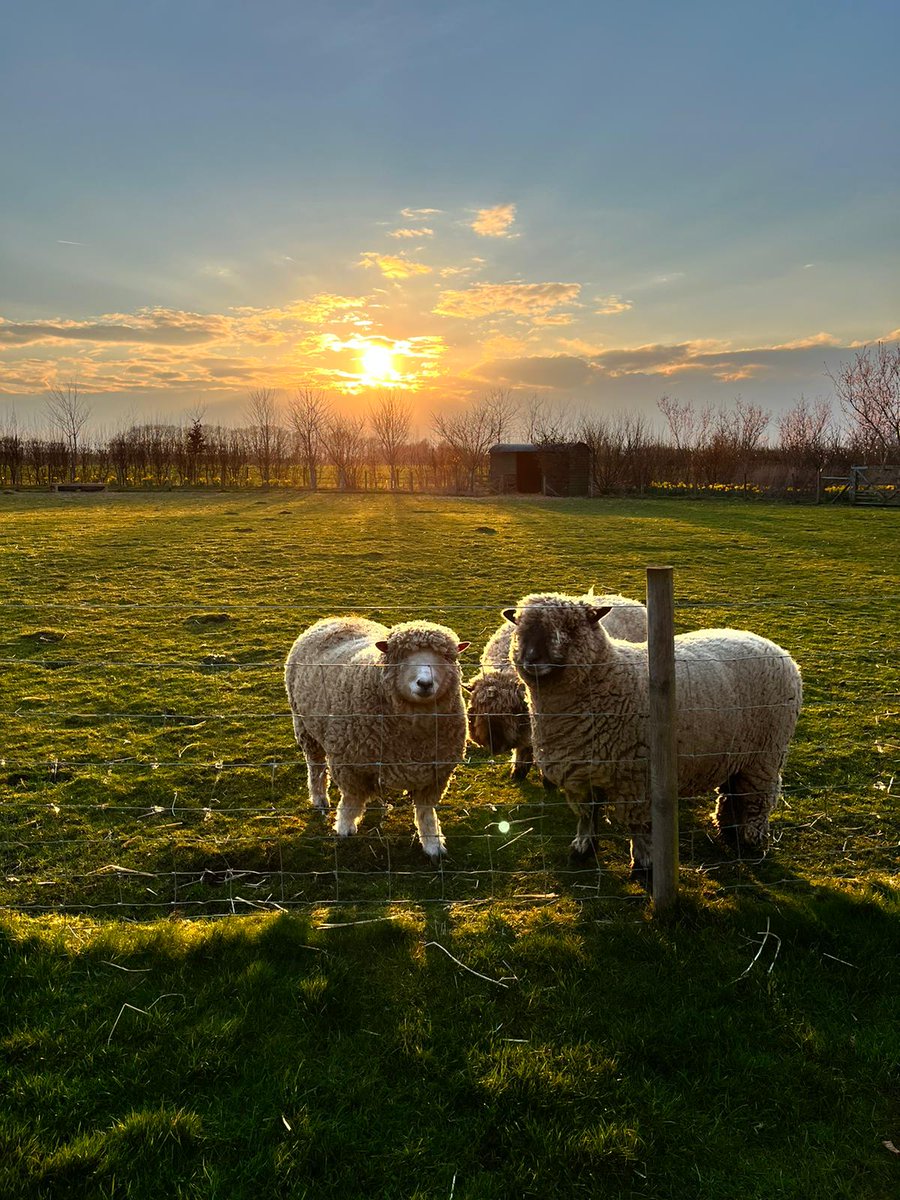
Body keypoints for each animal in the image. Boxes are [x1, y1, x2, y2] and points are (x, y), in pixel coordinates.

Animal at [285, 617, 470, 859]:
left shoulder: (435, 773)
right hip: (305, 728)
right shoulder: (348, 764)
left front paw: (433, 843)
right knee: (316, 768)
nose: (425, 683)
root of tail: (335, 618)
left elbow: (425, 812)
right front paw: (344, 827)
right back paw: (319, 799)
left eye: (446, 657)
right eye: (401, 656)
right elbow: (351, 800)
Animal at [503, 592, 802, 879]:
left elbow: (640, 826)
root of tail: (777, 648)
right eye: (519, 626)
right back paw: (726, 829)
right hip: (735, 751)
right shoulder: (579, 773)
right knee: (732, 791)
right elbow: (587, 815)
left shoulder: (637, 780)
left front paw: (644, 864)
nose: (531, 659)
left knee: (757, 798)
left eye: (570, 627)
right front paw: (583, 848)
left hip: (765, 754)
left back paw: (751, 840)